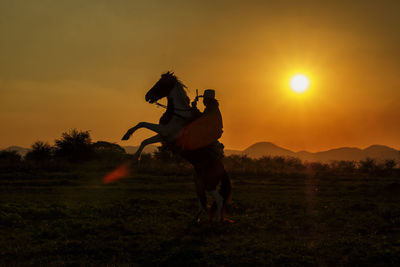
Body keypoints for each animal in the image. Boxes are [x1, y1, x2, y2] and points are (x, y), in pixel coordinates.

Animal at [121, 72, 231, 223]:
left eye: (162, 83)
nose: (148, 96)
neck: (178, 115)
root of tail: (222, 168)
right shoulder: (163, 136)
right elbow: (145, 140)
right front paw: (131, 147)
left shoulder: (165, 131)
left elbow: (143, 124)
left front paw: (133, 155)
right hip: (199, 181)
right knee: (202, 200)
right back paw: (196, 219)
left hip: (210, 184)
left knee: (219, 200)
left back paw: (217, 221)